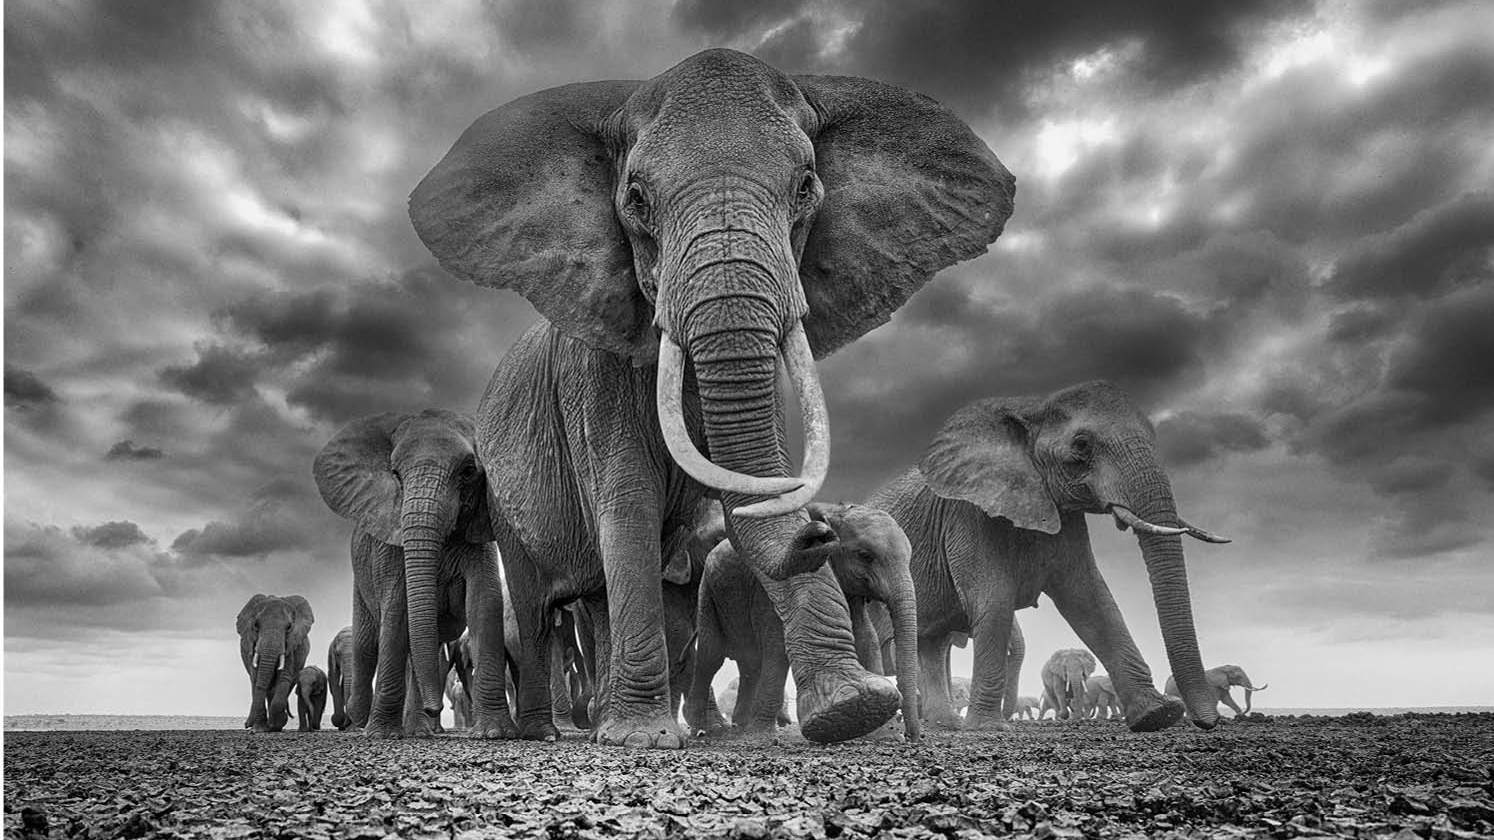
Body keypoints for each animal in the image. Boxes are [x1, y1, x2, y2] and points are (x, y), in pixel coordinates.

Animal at [236, 594, 314, 733]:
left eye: (289, 628)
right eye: (256, 625)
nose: (246, 724)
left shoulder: (291, 646)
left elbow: (283, 678)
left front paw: (275, 725)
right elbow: (256, 678)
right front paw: (260, 730)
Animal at [313, 409, 513, 739]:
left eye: (468, 471)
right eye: (395, 473)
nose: (436, 708)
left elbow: (483, 604)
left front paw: (494, 733)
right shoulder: (390, 542)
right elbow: (397, 608)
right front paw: (382, 735)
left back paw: (419, 730)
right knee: (367, 643)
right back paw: (368, 721)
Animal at [690, 503, 921, 739]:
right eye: (865, 555)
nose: (912, 737)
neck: (833, 511)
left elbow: (866, 637)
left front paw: (881, 731)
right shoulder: (770, 588)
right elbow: (776, 644)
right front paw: (762, 736)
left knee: (750, 662)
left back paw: (740, 725)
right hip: (707, 593)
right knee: (711, 656)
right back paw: (707, 728)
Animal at [868, 380, 1231, 732]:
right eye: (1082, 445)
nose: (1206, 722)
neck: (1030, 408)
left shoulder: (1065, 520)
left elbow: (1091, 600)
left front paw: (1158, 715)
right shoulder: (967, 515)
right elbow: (994, 601)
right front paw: (988, 729)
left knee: (932, 644)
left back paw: (946, 724)